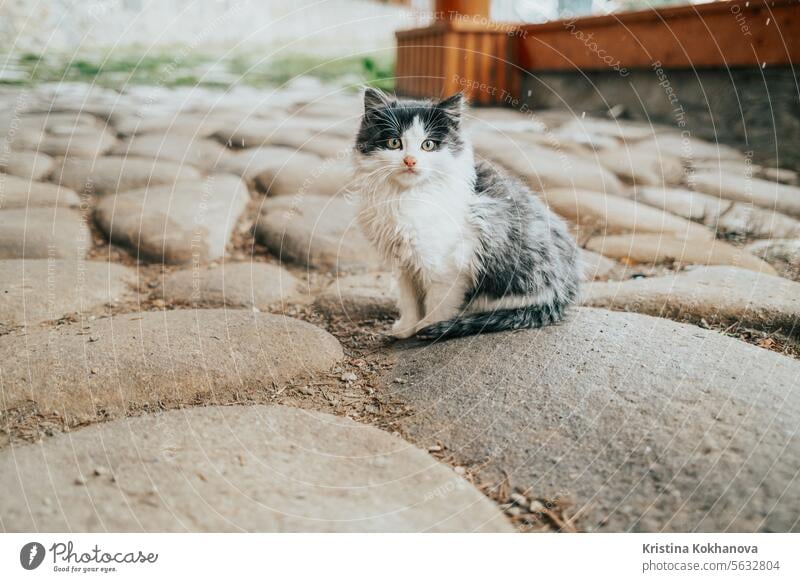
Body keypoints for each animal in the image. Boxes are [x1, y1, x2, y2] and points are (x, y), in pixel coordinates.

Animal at [354, 88, 580, 340]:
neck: (407, 196)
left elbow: (437, 304)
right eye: (394, 142)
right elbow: (409, 299)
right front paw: (406, 328)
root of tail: (563, 294)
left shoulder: (446, 267)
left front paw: (427, 328)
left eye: (428, 145)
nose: (410, 161)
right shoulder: (404, 264)